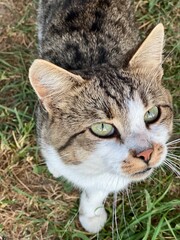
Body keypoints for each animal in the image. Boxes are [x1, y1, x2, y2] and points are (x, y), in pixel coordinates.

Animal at [28, 0, 174, 232]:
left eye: (152, 114)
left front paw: (91, 213)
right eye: (103, 128)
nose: (147, 153)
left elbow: (98, 189)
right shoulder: (43, 126)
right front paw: (55, 167)